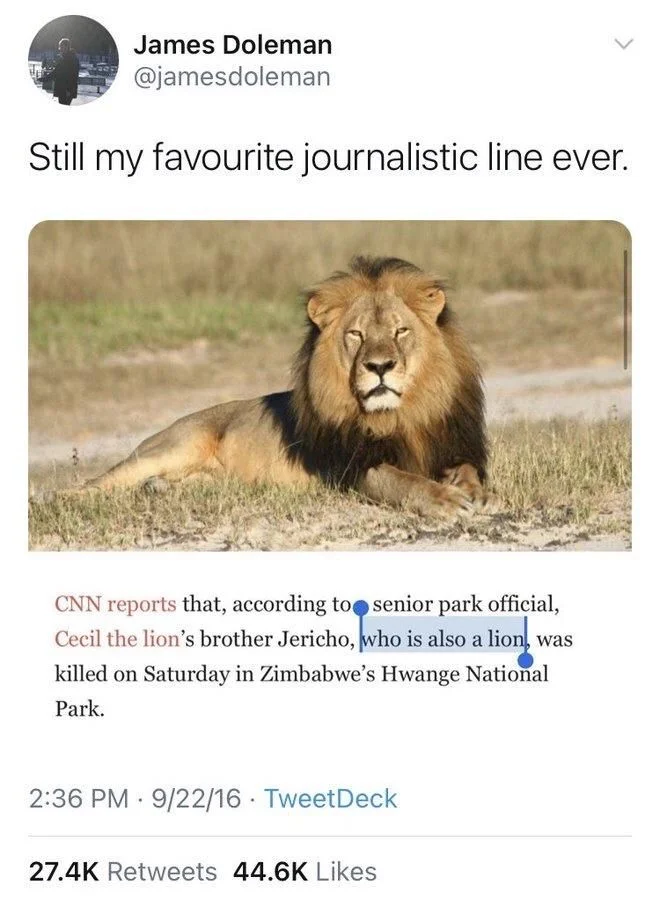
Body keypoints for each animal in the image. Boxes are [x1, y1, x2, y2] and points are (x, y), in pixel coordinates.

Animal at [85, 256, 489, 515]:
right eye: (356, 335)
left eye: (400, 331)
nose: (379, 367)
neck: (401, 415)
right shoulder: (350, 467)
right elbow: (402, 481)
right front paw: (446, 501)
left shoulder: (451, 444)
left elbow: (468, 469)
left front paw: (471, 489)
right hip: (172, 447)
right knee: (93, 484)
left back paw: (158, 488)